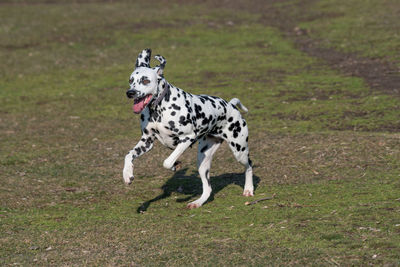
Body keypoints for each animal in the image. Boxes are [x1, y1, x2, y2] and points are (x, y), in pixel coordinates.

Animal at [122, 49, 253, 210]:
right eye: (131, 80)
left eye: (145, 80)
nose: (130, 92)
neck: (159, 109)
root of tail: (231, 105)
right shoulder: (147, 142)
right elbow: (128, 155)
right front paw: (127, 174)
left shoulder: (187, 138)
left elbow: (166, 162)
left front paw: (174, 165)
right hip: (203, 161)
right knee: (208, 188)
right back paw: (198, 202)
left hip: (239, 150)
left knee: (249, 165)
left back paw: (248, 189)